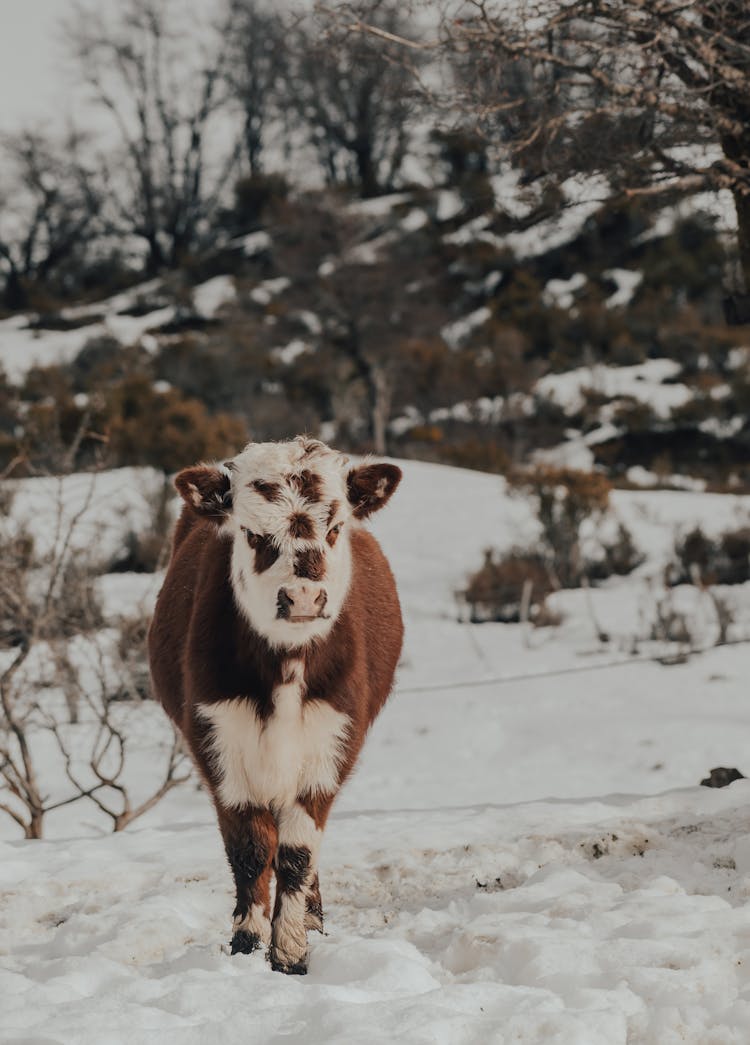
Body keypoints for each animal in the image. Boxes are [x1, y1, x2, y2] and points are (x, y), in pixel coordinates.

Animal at [148, 436, 405, 973]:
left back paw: (311, 918)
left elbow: (297, 853)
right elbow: (250, 850)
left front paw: (289, 950)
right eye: (250, 532)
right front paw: (247, 943)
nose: (303, 597)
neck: (287, 666)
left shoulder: (329, 746)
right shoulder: (221, 744)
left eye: (335, 527)